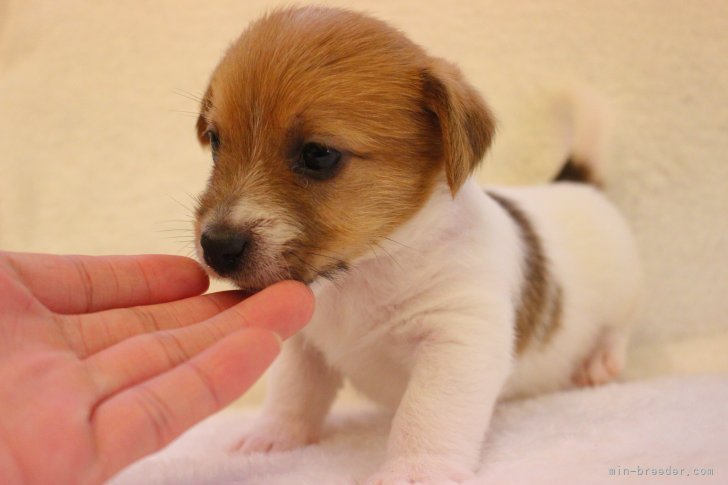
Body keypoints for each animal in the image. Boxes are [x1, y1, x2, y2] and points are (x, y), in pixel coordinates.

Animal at [193, 5, 644, 482]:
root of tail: (573, 185)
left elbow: (427, 413)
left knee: (618, 329)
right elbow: (291, 394)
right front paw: (271, 439)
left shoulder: (458, 337)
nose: (216, 246)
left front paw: (415, 468)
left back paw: (600, 363)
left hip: (626, 292)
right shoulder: (305, 344)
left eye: (319, 155)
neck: (363, 270)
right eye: (216, 142)